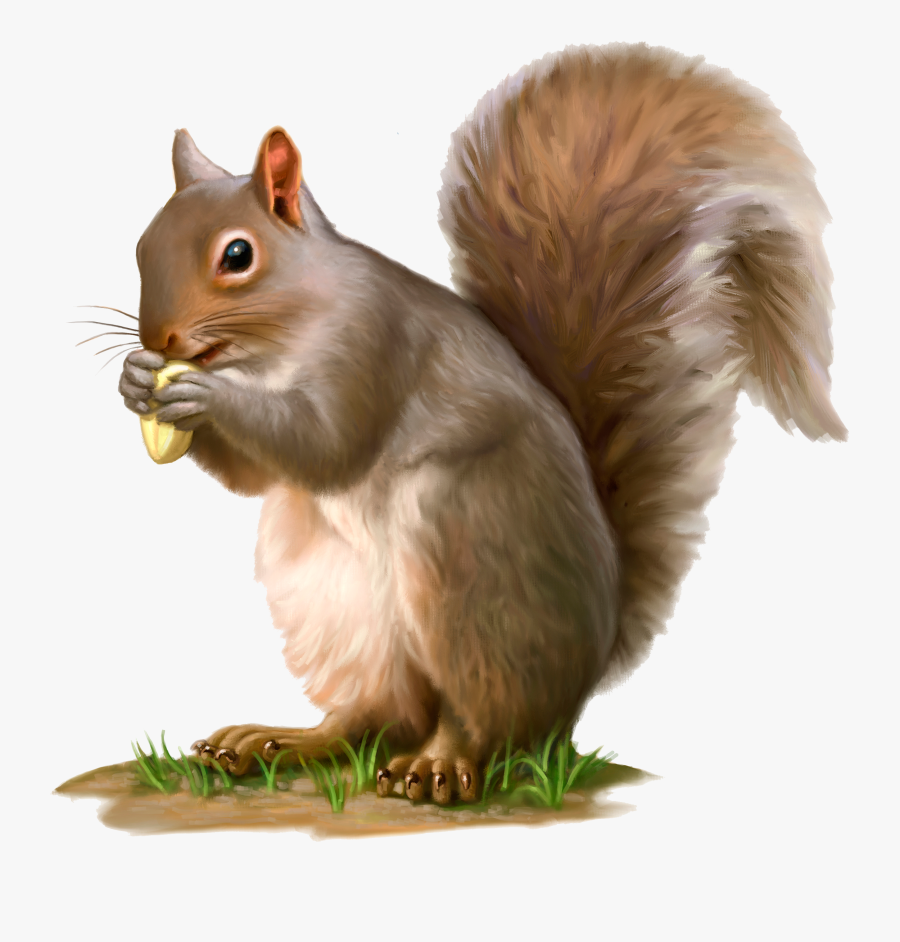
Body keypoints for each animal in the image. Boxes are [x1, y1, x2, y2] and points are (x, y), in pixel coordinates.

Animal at [115, 43, 844, 802]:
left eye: (238, 255)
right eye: (141, 245)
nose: (159, 338)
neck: (276, 342)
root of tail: (588, 662)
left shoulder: (375, 346)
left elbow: (323, 443)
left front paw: (206, 396)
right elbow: (255, 475)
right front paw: (134, 380)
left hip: (462, 550)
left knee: (485, 720)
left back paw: (440, 764)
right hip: (335, 594)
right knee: (378, 713)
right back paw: (278, 741)